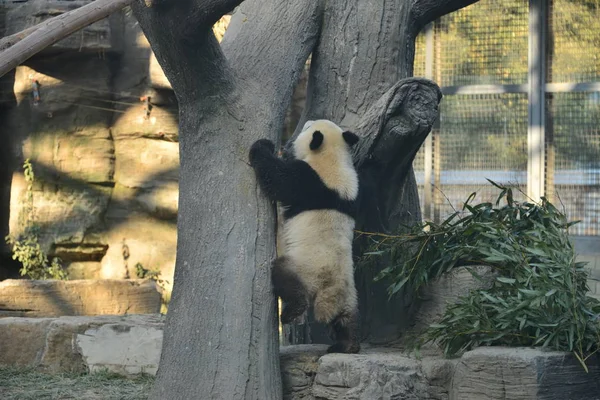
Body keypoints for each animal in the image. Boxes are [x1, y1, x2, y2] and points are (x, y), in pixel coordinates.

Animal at [250, 119, 360, 354]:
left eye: (307, 127)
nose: (306, 122)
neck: (333, 156)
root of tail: (327, 286)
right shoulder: (353, 190)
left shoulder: (306, 179)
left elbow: (277, 178)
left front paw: (263, 146)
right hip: (348, 289)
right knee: (347, 316)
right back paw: (347, 344)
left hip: (304, 266)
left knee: (285, 277)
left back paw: (292, 311)